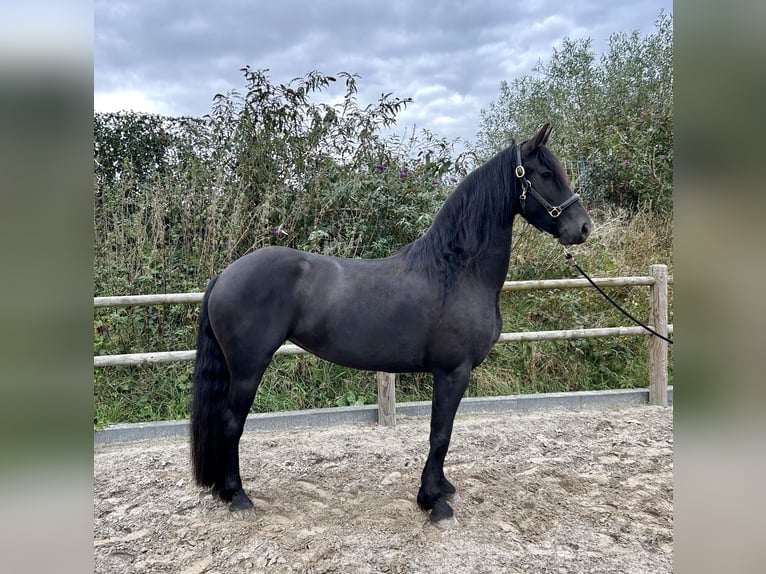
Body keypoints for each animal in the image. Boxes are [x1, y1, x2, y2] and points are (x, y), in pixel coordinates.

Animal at [192, 125, 592, 528]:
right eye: (546, 174)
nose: (583, 228)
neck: (457, 271)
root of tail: (226, 274)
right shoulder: (453, 371)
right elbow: (440, 435)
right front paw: (433, 502)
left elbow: (443, 434)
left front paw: (442, 488)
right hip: (248, 368)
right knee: (231, 423)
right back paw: (238, 496)